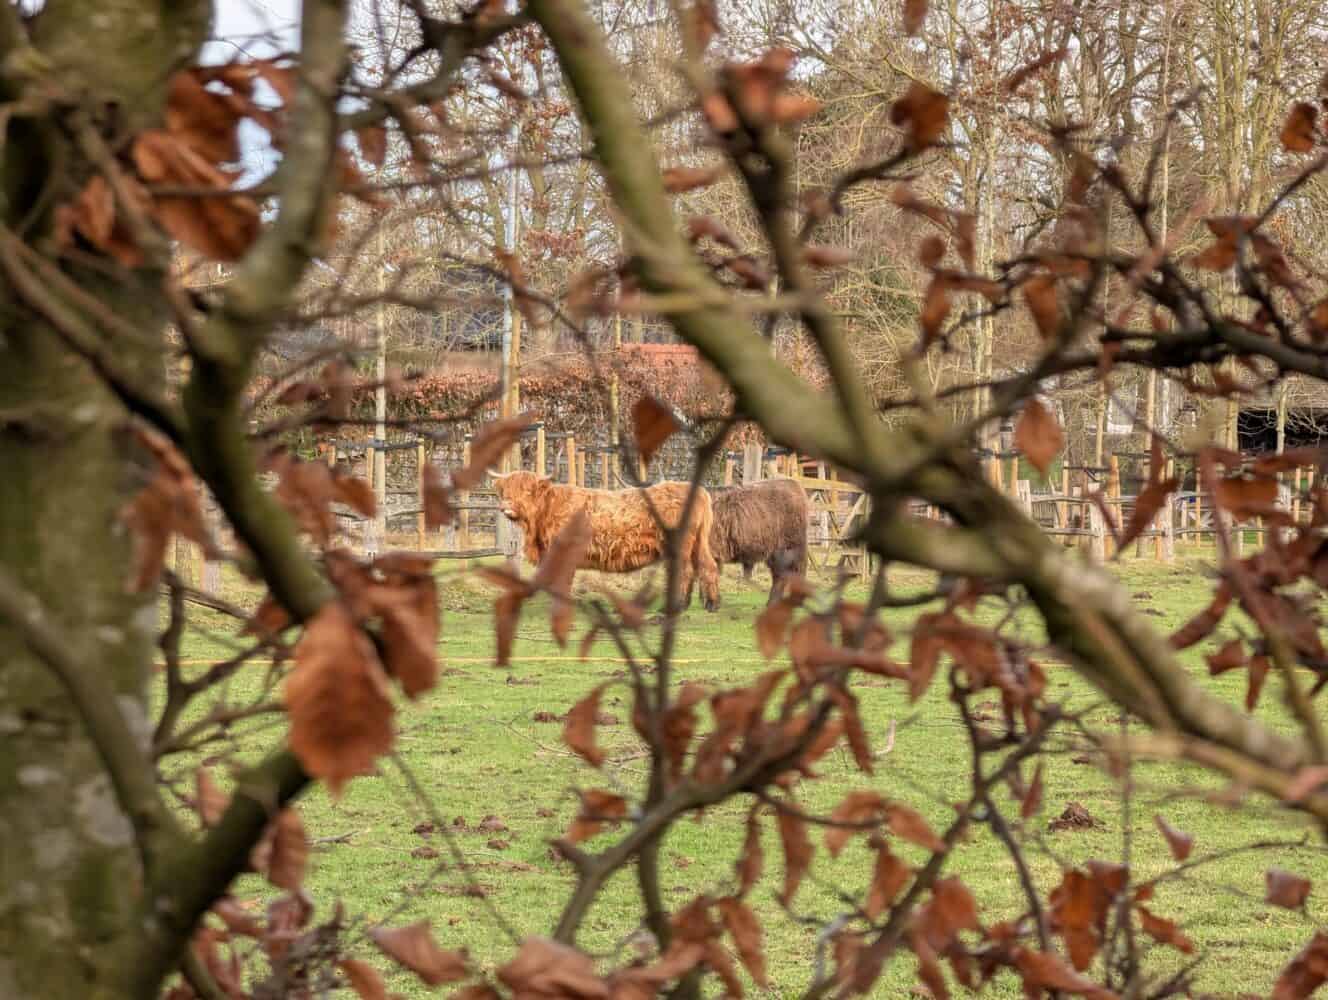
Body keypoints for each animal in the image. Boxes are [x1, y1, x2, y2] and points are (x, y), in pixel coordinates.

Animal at [492, 471, 721, 611]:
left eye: (528, 490)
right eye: (505, 491)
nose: (505, 506)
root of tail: (699, 490)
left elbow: (563, 580)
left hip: (681, 545)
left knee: (686, 571)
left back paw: (678, 605)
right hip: (698, 543)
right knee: (707, 565)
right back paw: (710, 603)